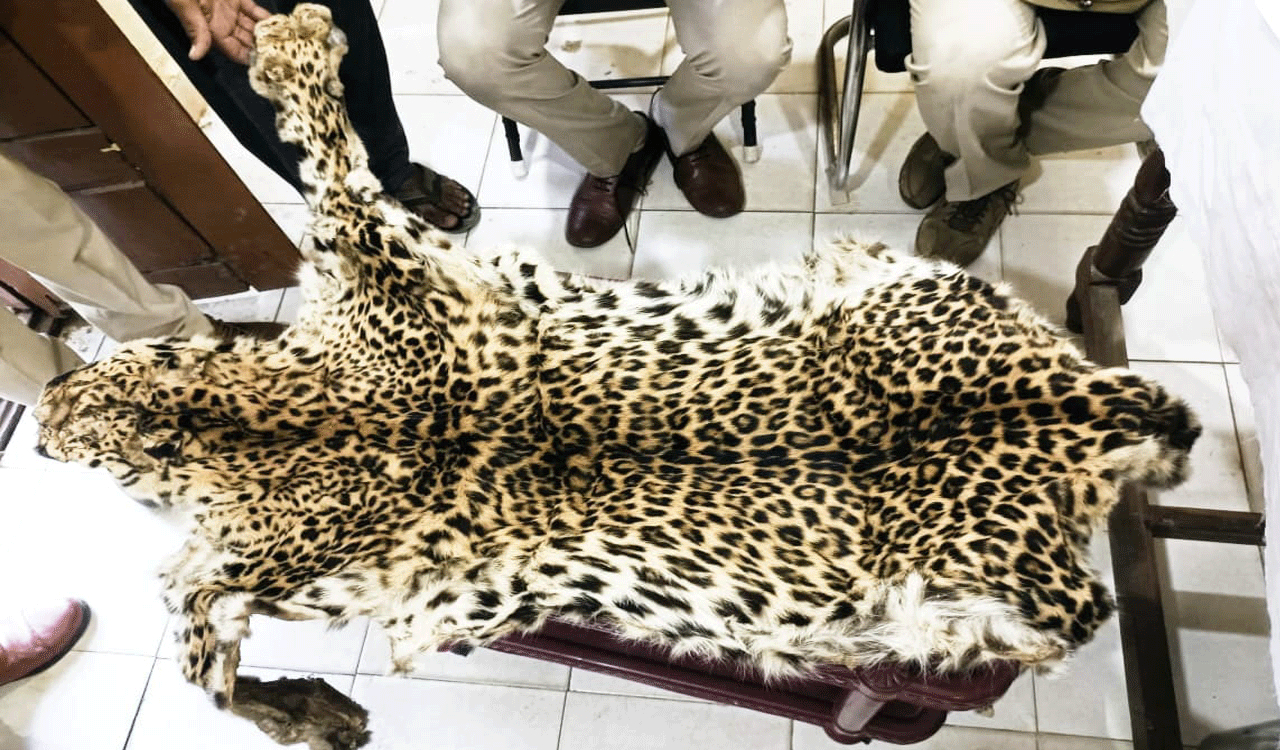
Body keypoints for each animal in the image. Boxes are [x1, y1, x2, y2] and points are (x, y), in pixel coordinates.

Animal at [33, 5, 1200, 748]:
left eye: (60, 423)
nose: (36, 421)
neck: (253, 417)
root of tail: (1089, 404)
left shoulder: (368, 260)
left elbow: (197, 645)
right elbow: (192, 620)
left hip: (980, 585)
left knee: (1064, 616)